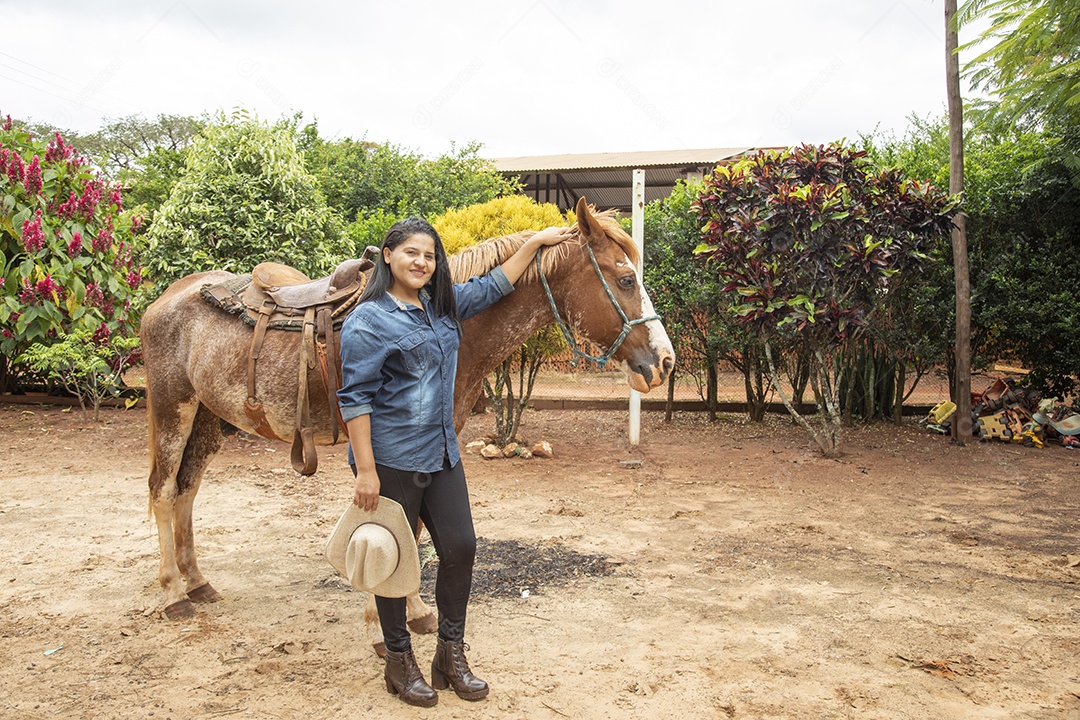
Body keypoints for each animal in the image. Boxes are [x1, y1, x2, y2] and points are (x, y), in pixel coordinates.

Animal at [139, 195, 669, 643]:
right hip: (172, 408)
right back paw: (173, 595)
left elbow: (413, 529)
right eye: (626, 280)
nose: (665, 362)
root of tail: (167, 298)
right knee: (163, 491)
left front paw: (414, 611)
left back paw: (197, 582)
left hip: (207, 418)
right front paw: (383, 619)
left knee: (187, 489)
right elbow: (396, 525)